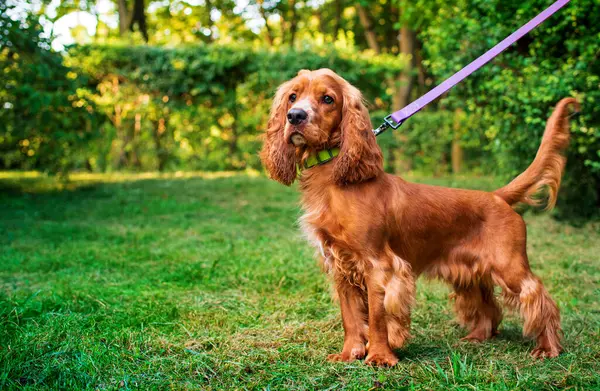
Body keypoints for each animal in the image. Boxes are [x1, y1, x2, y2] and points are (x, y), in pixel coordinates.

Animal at [258, 68, 576, 368]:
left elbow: (377, 317)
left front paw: (380, 357)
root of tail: (497, 196)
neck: (336, 179)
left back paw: (548, 348)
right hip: (469, 272)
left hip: (510, 267)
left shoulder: (379, 265)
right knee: (488, 305)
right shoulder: (340, 265)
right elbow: (351, 317)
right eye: (292, 97)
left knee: (540, 299)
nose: (295, 116)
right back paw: (477, 337)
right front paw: (350, 353)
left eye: (327, 99)